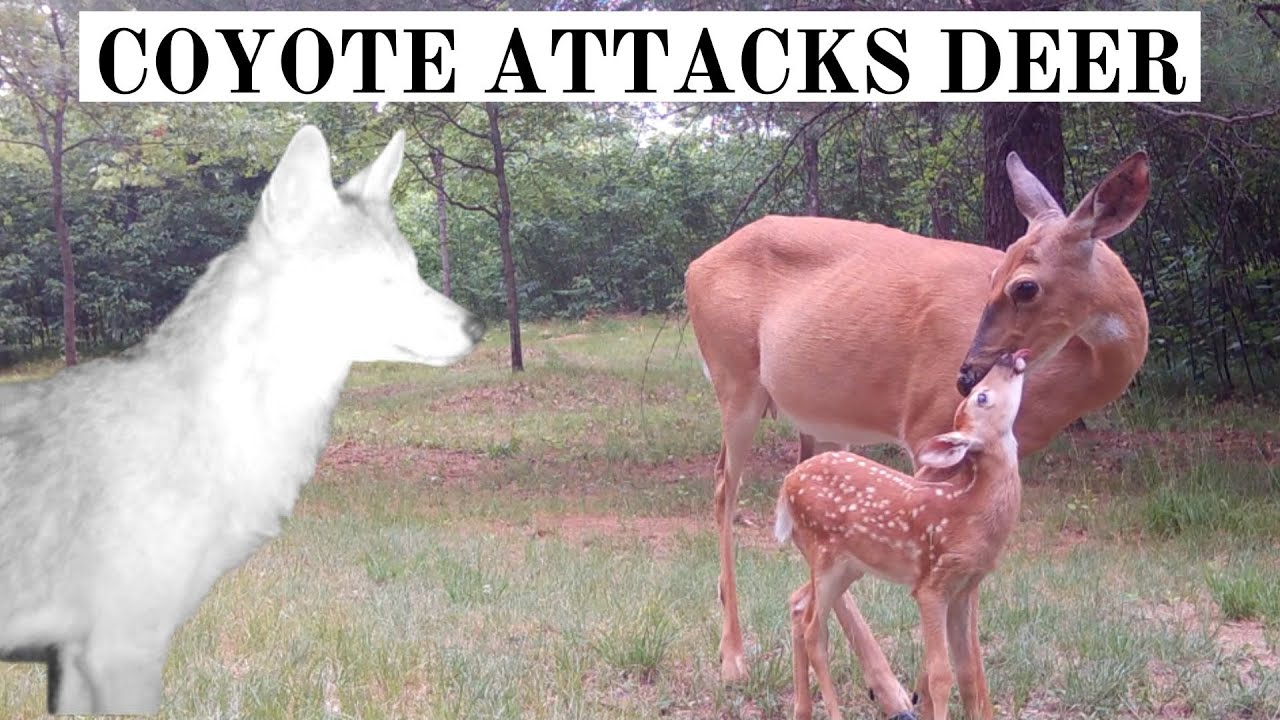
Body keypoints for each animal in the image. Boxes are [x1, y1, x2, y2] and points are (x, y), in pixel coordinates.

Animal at [684, 151, 1150, 682]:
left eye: (1024, 285)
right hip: (734, 379)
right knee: (725, 490)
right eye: (997, 277)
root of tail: (695, 265)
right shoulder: (927, 425)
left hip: (823, 422)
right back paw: (734, 656)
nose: (966, 376)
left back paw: (877, 681)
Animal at [775, 349, 1030, 720]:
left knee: (798, 603)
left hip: (846, 565)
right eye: (981, 397)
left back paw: (803, 710)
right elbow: (940, 674)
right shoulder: (931, 585)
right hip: (825, 555)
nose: (1009, 357)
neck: (969, 514)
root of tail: (786, 485)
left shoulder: (965, 588)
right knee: (814, 630)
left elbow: (967, 671)